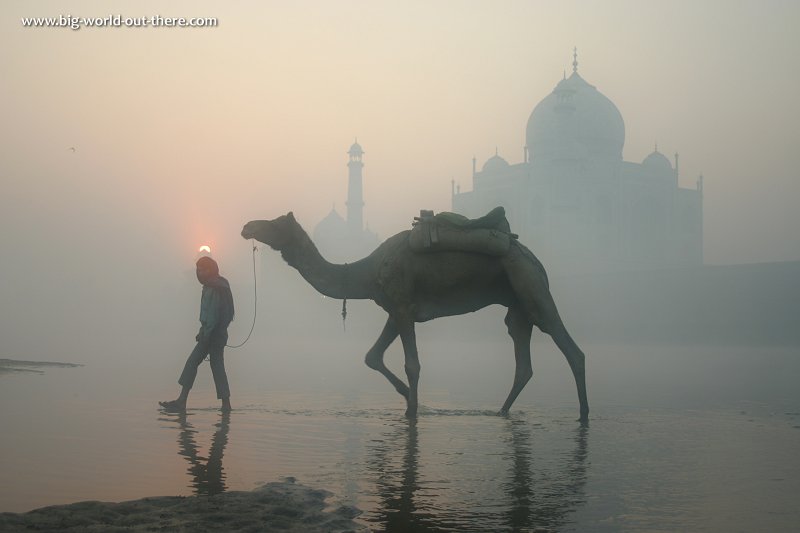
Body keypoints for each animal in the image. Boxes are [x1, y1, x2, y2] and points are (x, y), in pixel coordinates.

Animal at [242, 210, 588, 422]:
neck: (367, 271)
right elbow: (372, 356)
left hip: (531, 285)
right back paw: (501, 412)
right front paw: (411, 400)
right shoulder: (395, 309)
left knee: (570, 347)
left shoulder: (403, 305)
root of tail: (536, 260)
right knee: (522, 360)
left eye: (274, 223)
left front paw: (413, 409)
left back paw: (583, 413)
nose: (247, 227)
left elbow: (412, 364)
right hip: (517, 305)